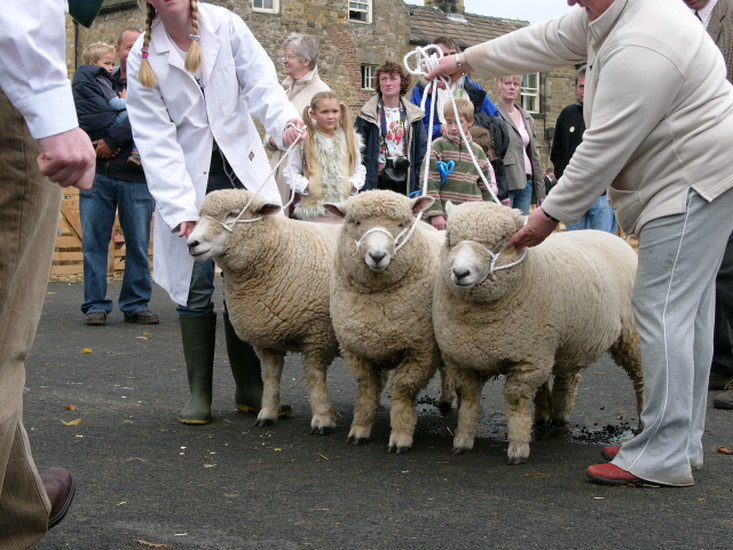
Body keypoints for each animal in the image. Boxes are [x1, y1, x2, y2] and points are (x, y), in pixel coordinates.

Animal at [187, 190, 338, 436]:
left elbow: (315, 377)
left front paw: (322, 418)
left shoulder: (318, 334)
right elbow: (270, 376)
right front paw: (267, 413)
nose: (192, 243)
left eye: (232, 214)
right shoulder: (266, 336)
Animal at [324, 192, 454, 454]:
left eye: (402, 224)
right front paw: (360, 429)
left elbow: (403, 390)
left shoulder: (421, 350)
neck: (378, 297)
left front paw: (401, 435)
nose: (377, 256)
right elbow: (367, 389)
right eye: (356, 222)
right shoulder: (355, 350)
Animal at [432, 203, 644, 466]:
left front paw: (518, 448)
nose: (460, 273)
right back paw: (557, 414)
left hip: (630, 335)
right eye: (450, 239)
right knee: (567, 378)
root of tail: (612, 236)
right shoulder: (461, 360)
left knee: (640, 378)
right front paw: (462, 440)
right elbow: (470, 402)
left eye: (500, 241)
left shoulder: (527, 362)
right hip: (568, 340)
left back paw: (643, 420)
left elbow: (517, 403)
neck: (480, 321)